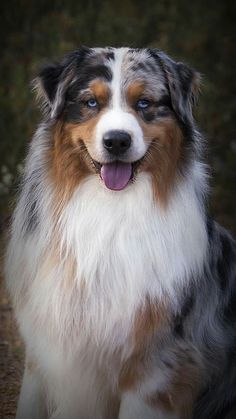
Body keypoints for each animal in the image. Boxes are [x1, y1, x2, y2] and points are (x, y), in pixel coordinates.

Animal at [4, 47, 236, 418]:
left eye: (144, 103)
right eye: (90, 102)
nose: (116, 141)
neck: (110, 209)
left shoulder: (158, 370)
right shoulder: (45, 352)